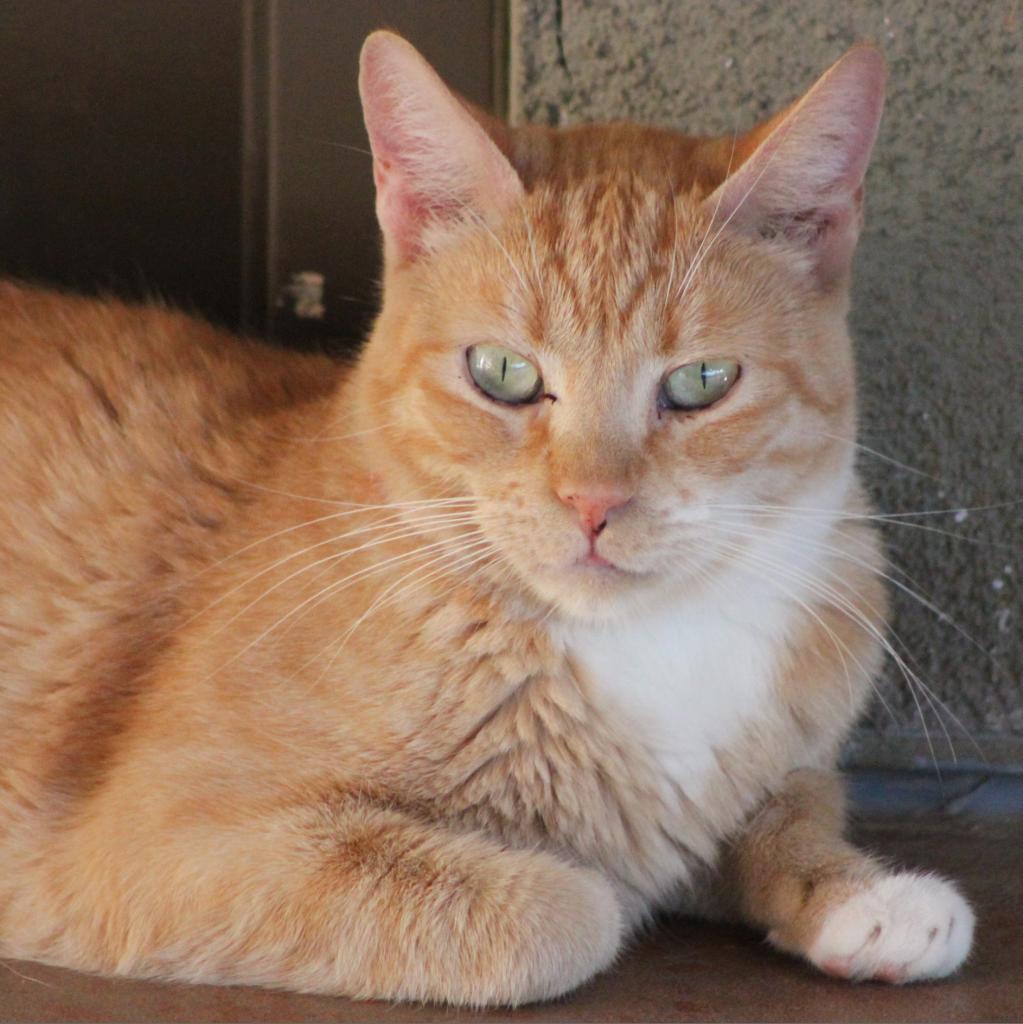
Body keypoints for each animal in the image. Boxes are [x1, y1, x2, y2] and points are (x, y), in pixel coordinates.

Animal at [0, 29, 974, 999]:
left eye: (702, 382)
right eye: (501, 372)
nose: (592, 503)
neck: (642, 645)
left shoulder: (784, 769)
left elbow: (792, 812)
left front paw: (866, 896)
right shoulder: (161, 843)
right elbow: (567, 908)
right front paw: (596, 881)